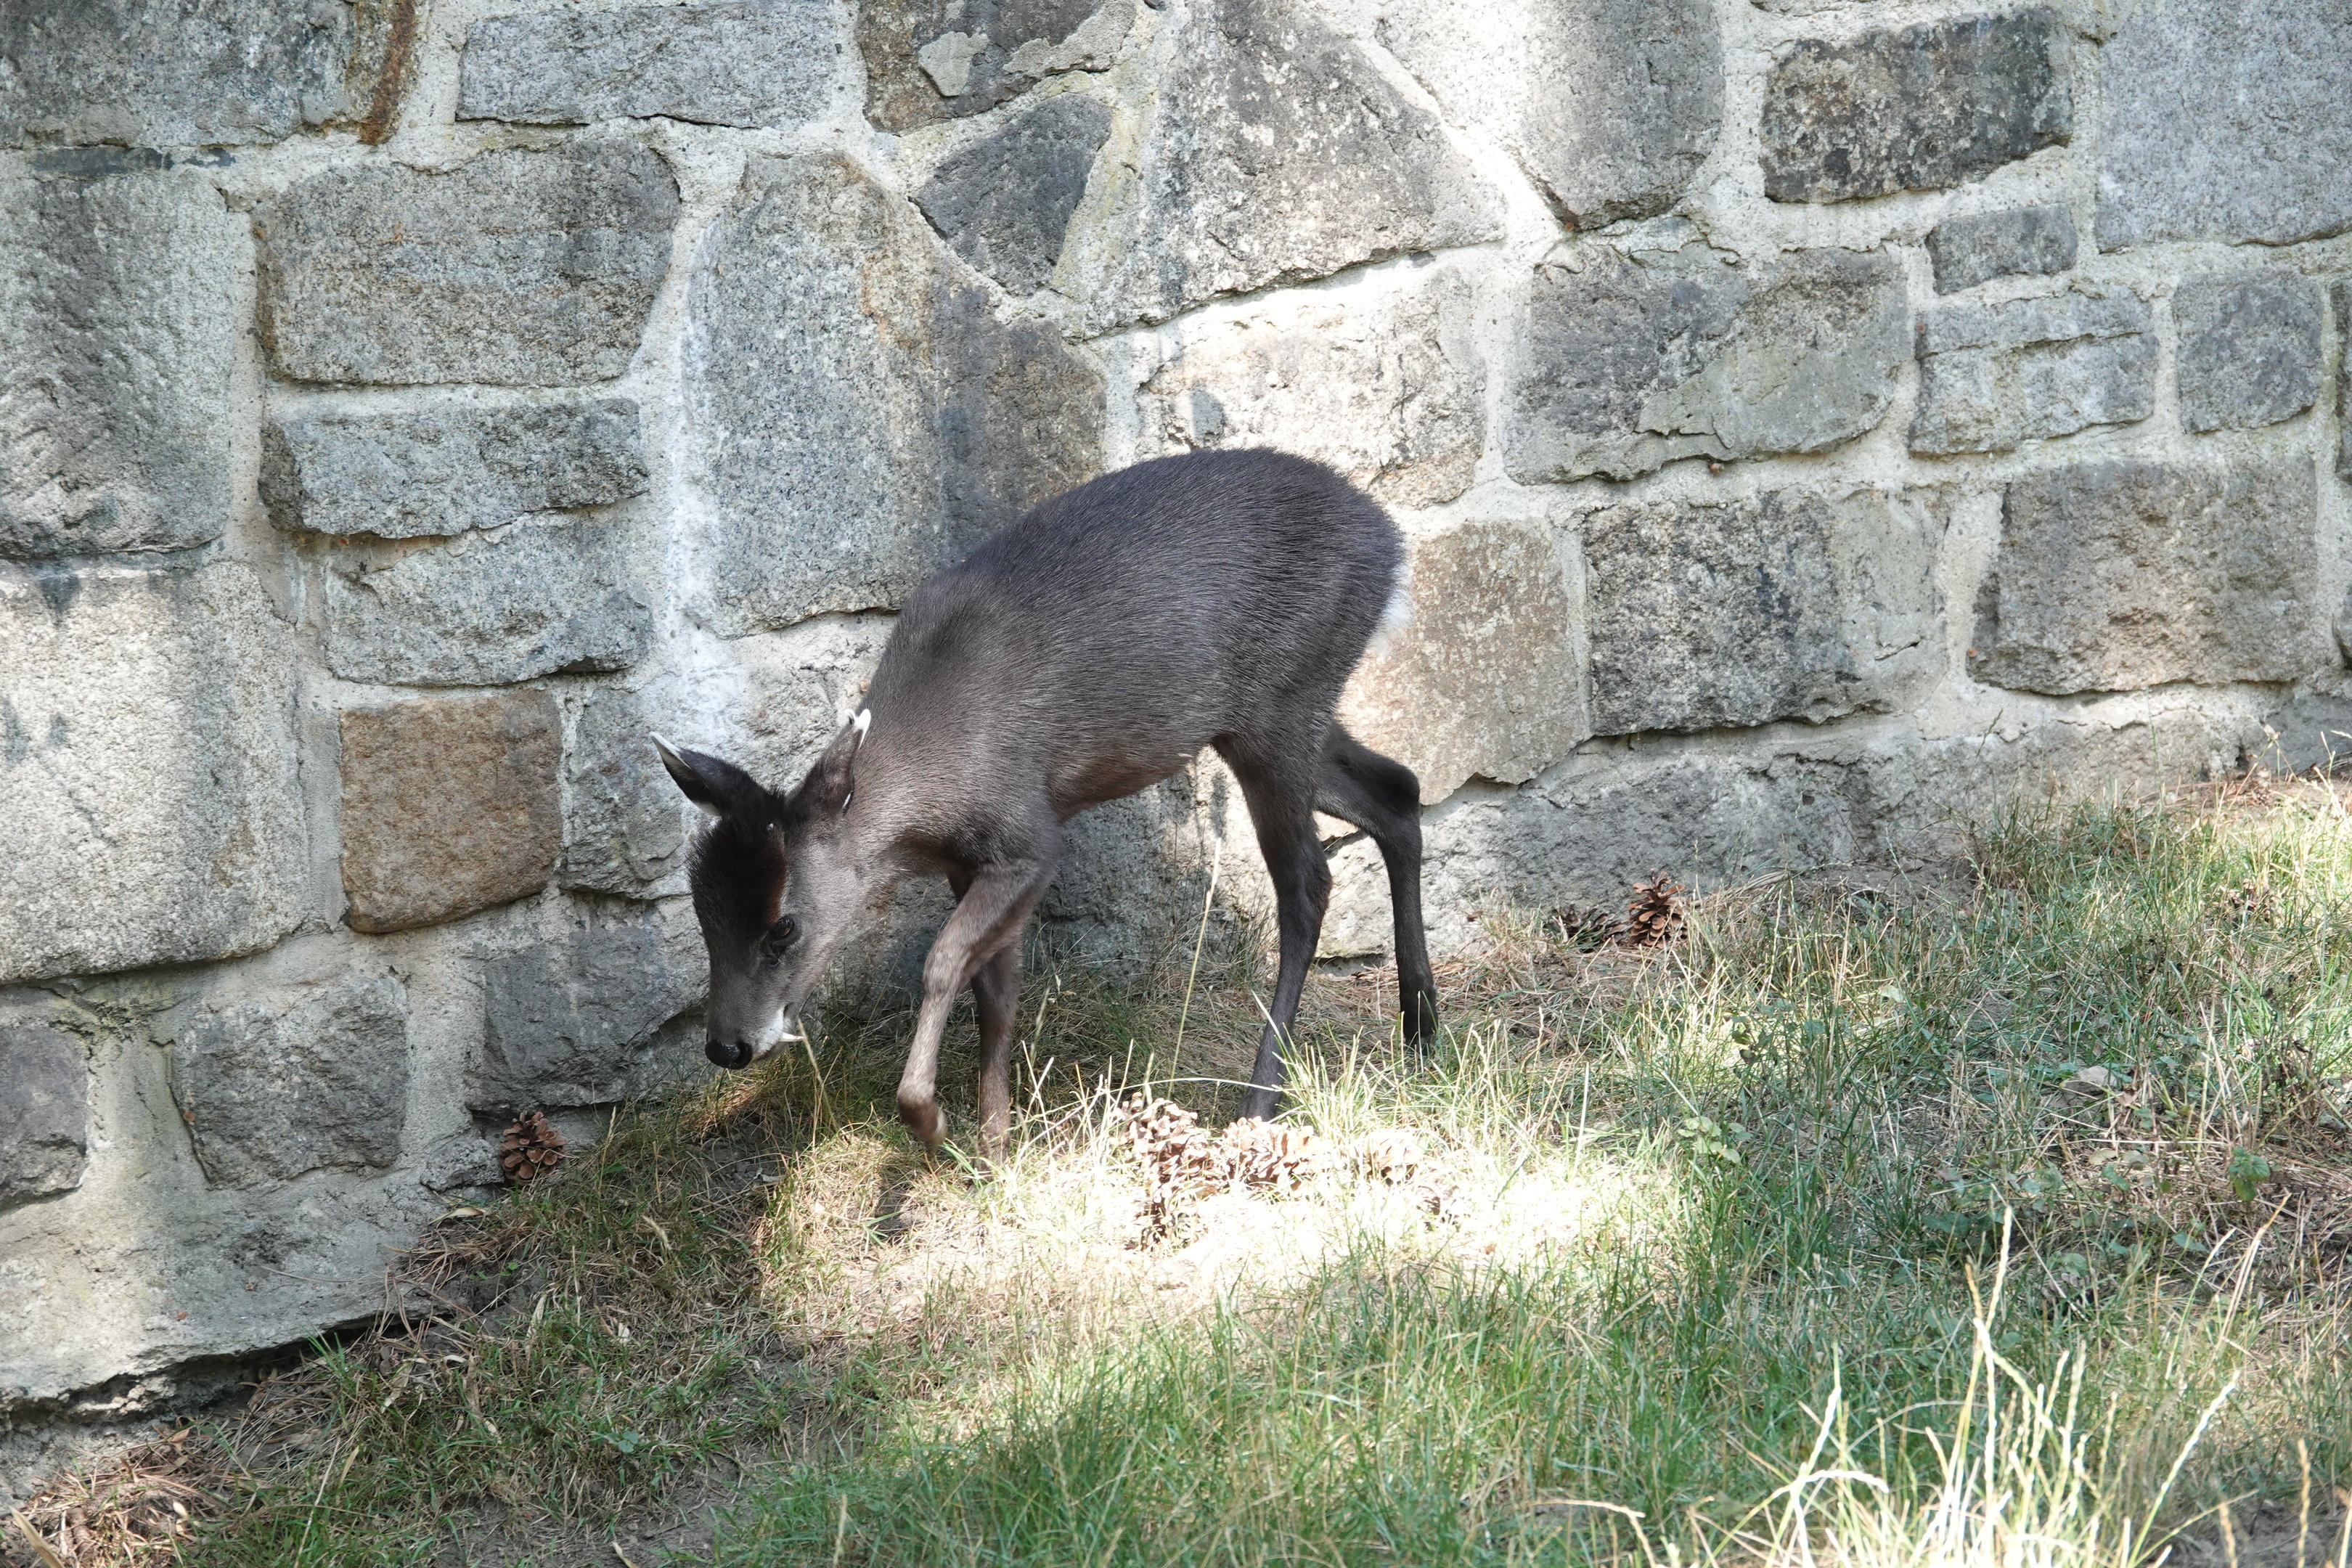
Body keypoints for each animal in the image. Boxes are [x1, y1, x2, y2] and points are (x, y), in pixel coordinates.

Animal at [653, 447, 1438, 1158]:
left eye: (783, 926)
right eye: (702, 915)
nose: (727, 1046)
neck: (930, 791)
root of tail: (1390, 545)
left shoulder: (1029, 839)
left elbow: (944, 962)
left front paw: (930, 1121)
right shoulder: (969, 864)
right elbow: (996, 992)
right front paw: (996, 1149)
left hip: (1284, 702)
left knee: (1310, 880)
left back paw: (1260, 1101)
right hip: (1274, 717)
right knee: (1399, 789)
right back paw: (1422, 1033)